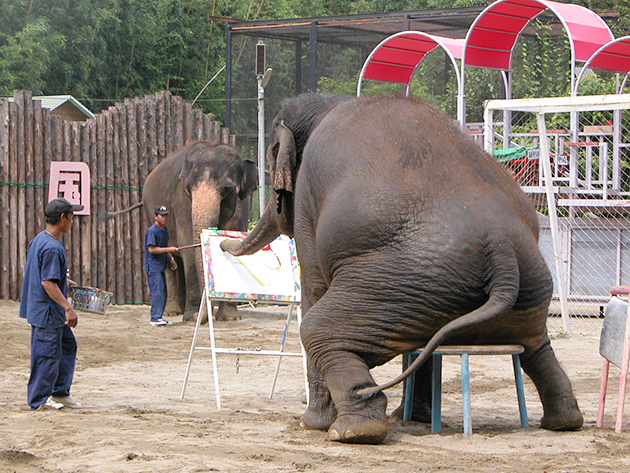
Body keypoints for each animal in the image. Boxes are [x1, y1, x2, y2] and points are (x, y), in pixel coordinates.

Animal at [103, 140, 256, 320]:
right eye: (188, 189)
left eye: (227, 190)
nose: (206, 312)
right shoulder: (180, 200)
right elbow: (188, 241)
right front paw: (195, 317)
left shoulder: (242, 204)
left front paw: (229, 318)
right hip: (148, 212)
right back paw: (172, 312)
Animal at [223, 95, 588, 442]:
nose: (224, 244)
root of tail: (501, 251)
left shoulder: (308, 202)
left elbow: (314, 287)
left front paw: (310, 424)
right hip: (500, 289)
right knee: (534, 346)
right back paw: (563, 421)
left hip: (400, 282)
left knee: (318, 330)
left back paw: (354, 431)